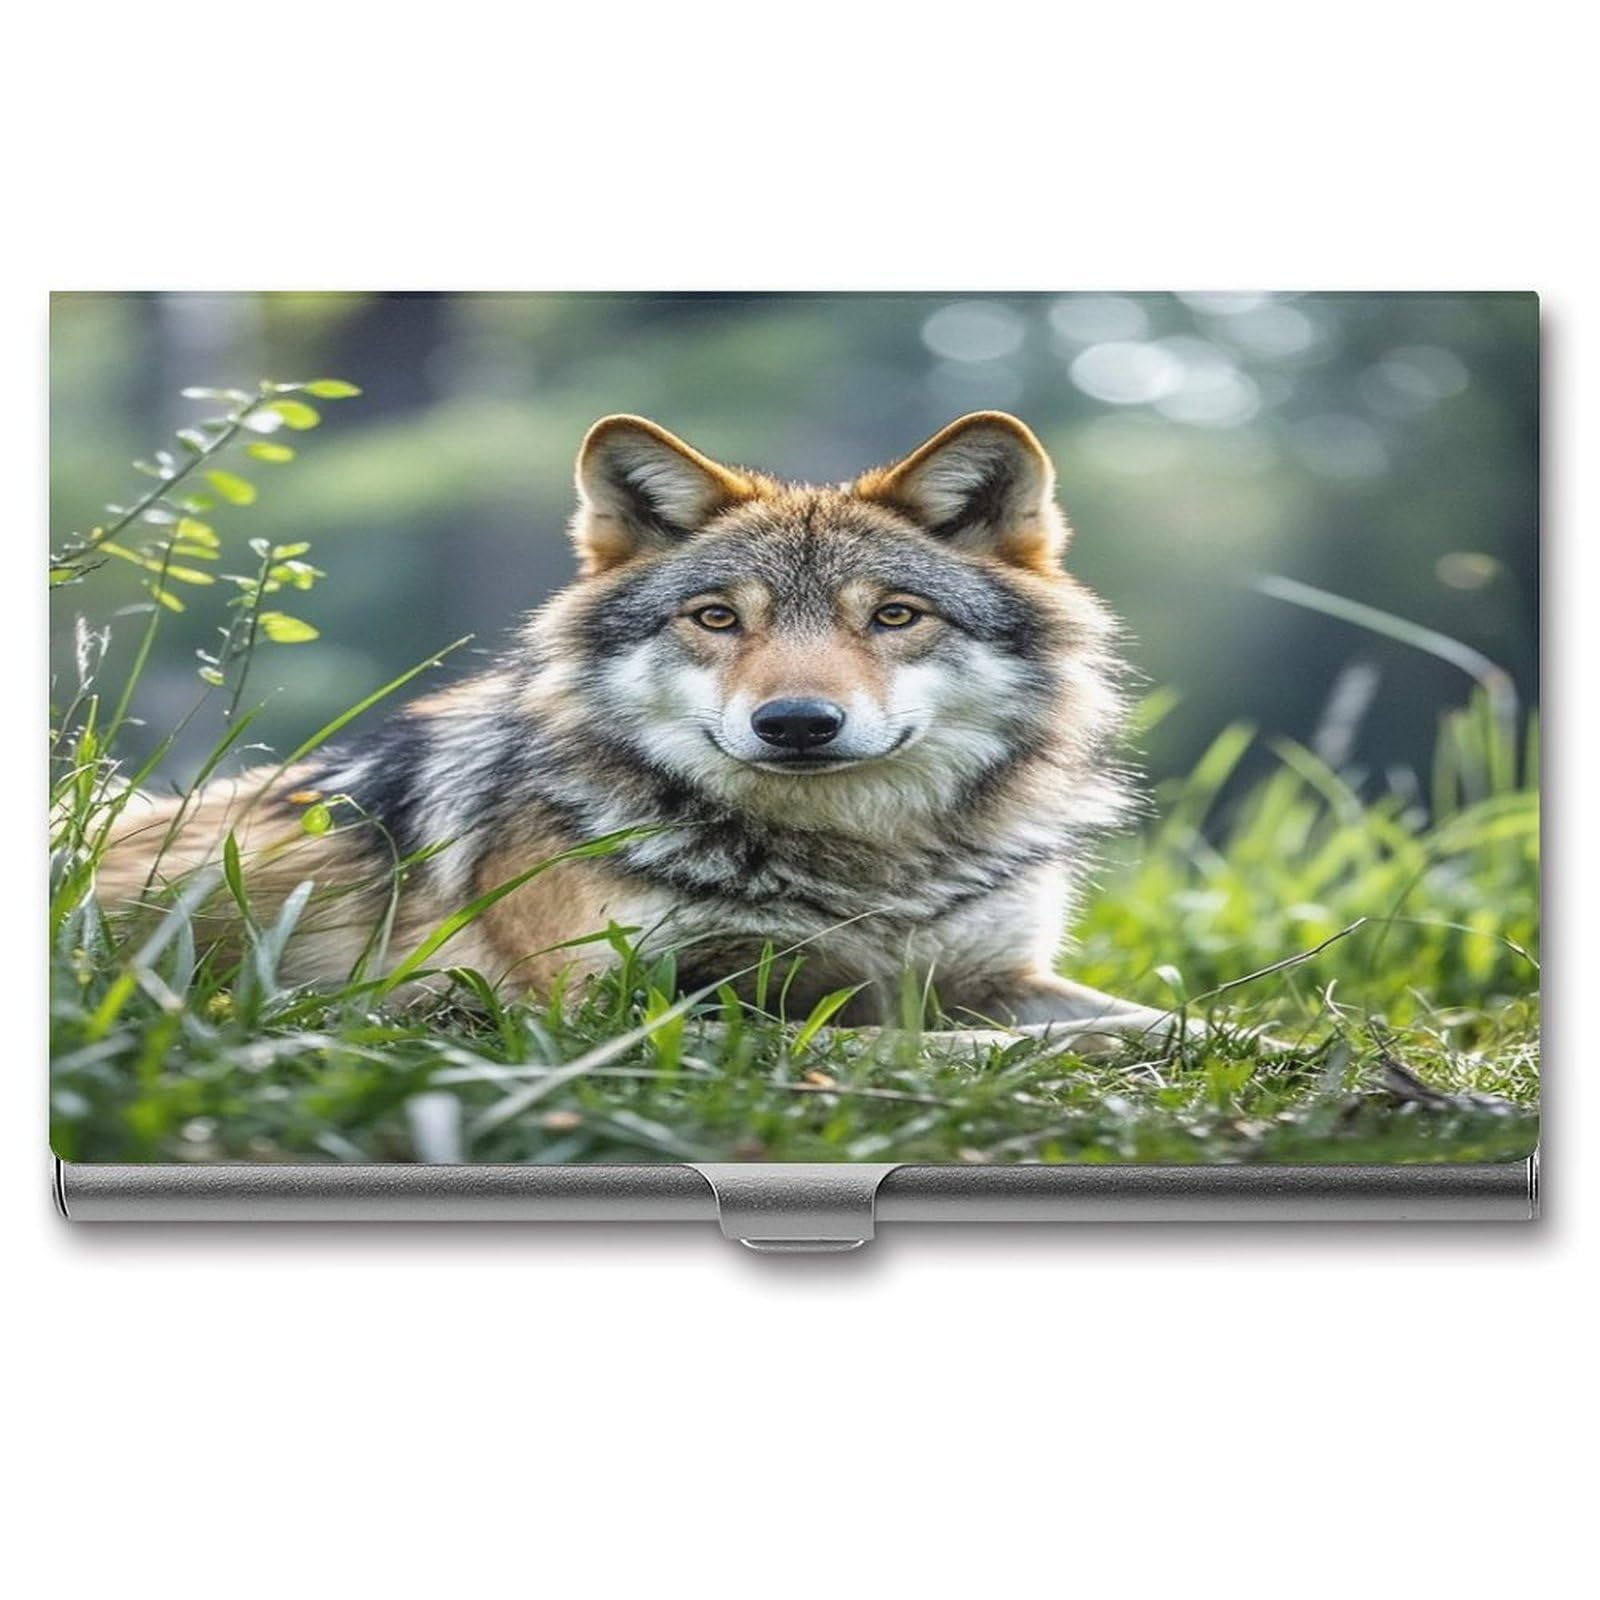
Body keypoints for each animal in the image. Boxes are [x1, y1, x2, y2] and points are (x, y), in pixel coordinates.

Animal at [97, 411, 1186, 1048]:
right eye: (717, 618)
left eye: (892, 616)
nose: (797, 723)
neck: (861, 871)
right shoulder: (623, 1010)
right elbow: (926, 1043)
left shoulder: (998, 972)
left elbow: (1171, 1018)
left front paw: (1218, 1044)